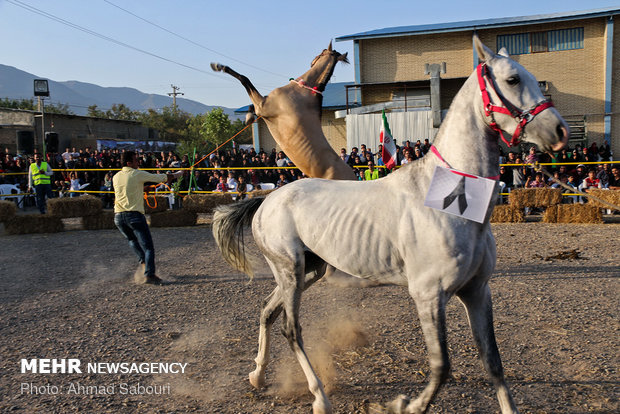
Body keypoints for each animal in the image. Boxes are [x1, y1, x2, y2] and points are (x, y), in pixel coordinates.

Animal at [213, 41, 356, 181]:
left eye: (321, 52)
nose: (312, 61)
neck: (302, 91)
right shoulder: (262, 106)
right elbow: (250, 104)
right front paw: (249, 117)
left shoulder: (262, 106)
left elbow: (244, 78)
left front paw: (218, 66)